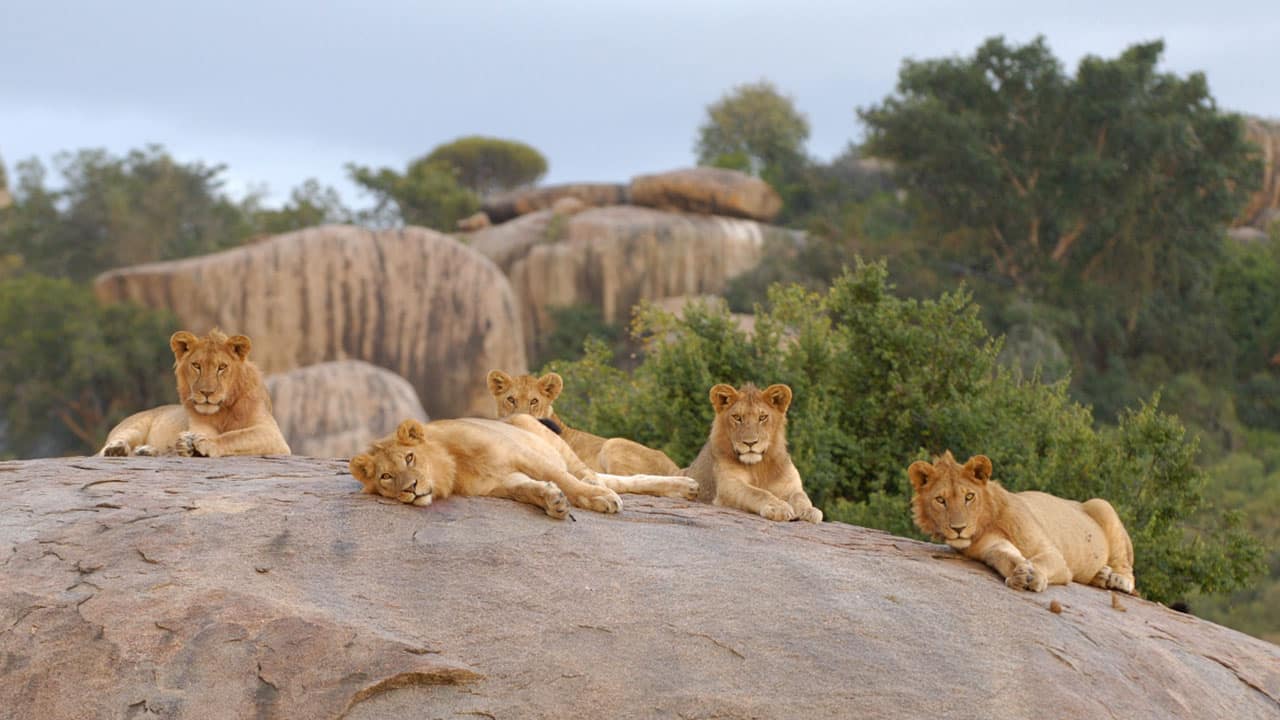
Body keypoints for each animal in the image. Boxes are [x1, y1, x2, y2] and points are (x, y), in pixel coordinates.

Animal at [98, 330, 293, 456]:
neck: (224, 410)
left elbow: (235, 436)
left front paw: (201, 444)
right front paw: (188, 444)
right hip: (133, 427)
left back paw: (146, 450)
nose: (206, 392)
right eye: (196, 365)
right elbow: (216, 434)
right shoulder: (199, 426)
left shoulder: (272, 434)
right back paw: (118, 449)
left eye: (222, 367)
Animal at [345, 415, 696, 515]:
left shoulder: (524, 455)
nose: (411, 489)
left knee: (596, 477)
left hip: (549, 439)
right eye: (387, 476)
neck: (454, 465)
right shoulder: (501, 483)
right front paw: (552, 501)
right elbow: (529, 490)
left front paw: (595, 499)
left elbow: (566, 481)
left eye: (410, 457)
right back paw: (687, 488)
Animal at [686, 381, 824, 520]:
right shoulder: (728, 485)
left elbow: (800, 495)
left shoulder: (791, 485)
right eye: (737, 417)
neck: (758, 467)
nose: (750, 442)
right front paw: (778, 507)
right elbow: (757, 492)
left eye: (762, 417)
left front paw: (809, 511)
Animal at [906, 450, 1136, 591]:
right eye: (940, 500)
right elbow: (1006, 557)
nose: (958, 529)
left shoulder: (1051, 551)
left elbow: (1043, 561)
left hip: (1102, 505)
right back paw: (1102, 575)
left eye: (969, 497)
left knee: (1126, 567)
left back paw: (1117, 579)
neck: (988, 522)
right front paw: (1019, 575)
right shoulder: (992, 546)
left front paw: (1033, 576)